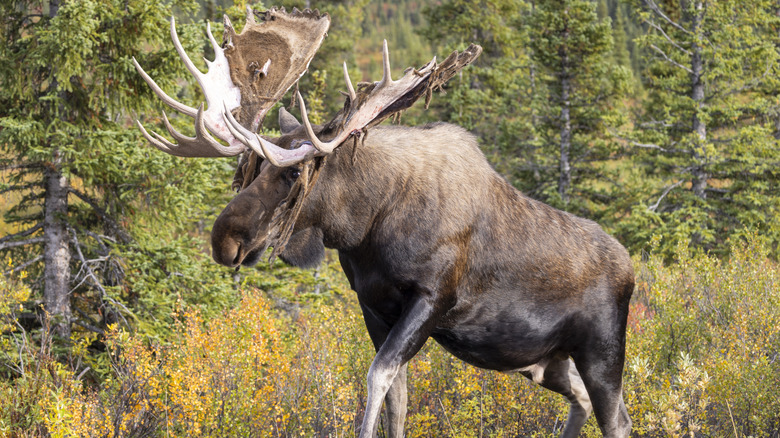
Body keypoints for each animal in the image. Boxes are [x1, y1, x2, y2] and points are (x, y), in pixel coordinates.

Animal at [133, 7, 634, 437]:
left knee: (616, 418)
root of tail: (631, 269)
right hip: (543, 362)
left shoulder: (431, 298)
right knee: (587, 403)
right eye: (250, 169)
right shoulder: (373, 305)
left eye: (293, 173)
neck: (366, 226)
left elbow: (378, 378)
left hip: (602, 351)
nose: (225, 239)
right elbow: (398, 398)